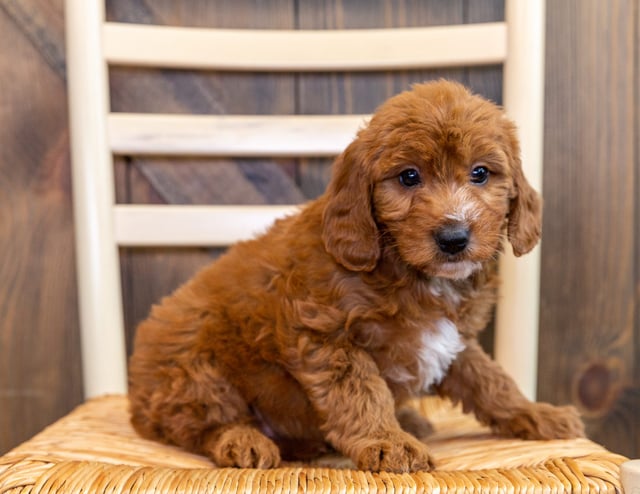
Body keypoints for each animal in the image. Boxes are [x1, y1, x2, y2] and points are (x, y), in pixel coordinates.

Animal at [130, 80, 584, 470]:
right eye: (409, 176)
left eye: (480, 173)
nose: (454, 237)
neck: (407, 267)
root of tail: (135, 400)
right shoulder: (327, 335)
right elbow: (361, 393)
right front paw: (387, 442)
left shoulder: (454, 342)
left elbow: (491, 381)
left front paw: (535, 413)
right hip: (194, 365)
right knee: (201, 425)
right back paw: (242, 441)